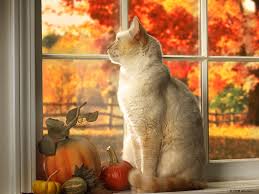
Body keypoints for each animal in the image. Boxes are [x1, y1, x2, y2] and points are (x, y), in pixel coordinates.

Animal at [106, 16, 206, 192]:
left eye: (117, 39)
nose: (107, 48)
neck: (129, 77)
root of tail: (198, 180)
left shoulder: (148, 132)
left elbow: (147, 170)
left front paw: (143, 187)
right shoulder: (135, 132)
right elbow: (139, 164)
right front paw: (136, 188)